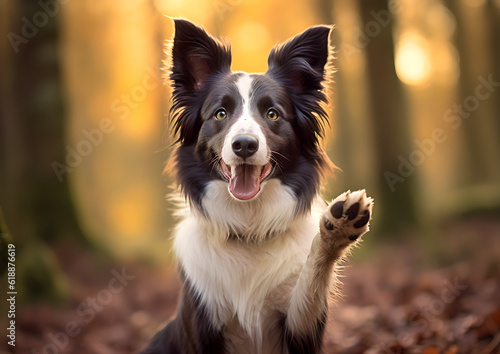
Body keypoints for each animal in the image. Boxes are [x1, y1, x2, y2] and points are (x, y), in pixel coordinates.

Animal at [143, 19, 374, 354]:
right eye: (221, 113)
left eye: (272, 114)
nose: (244, 145)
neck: (249, 227)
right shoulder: (202, 325)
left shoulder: (300, 330)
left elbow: (312, 278)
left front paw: (338, 229)